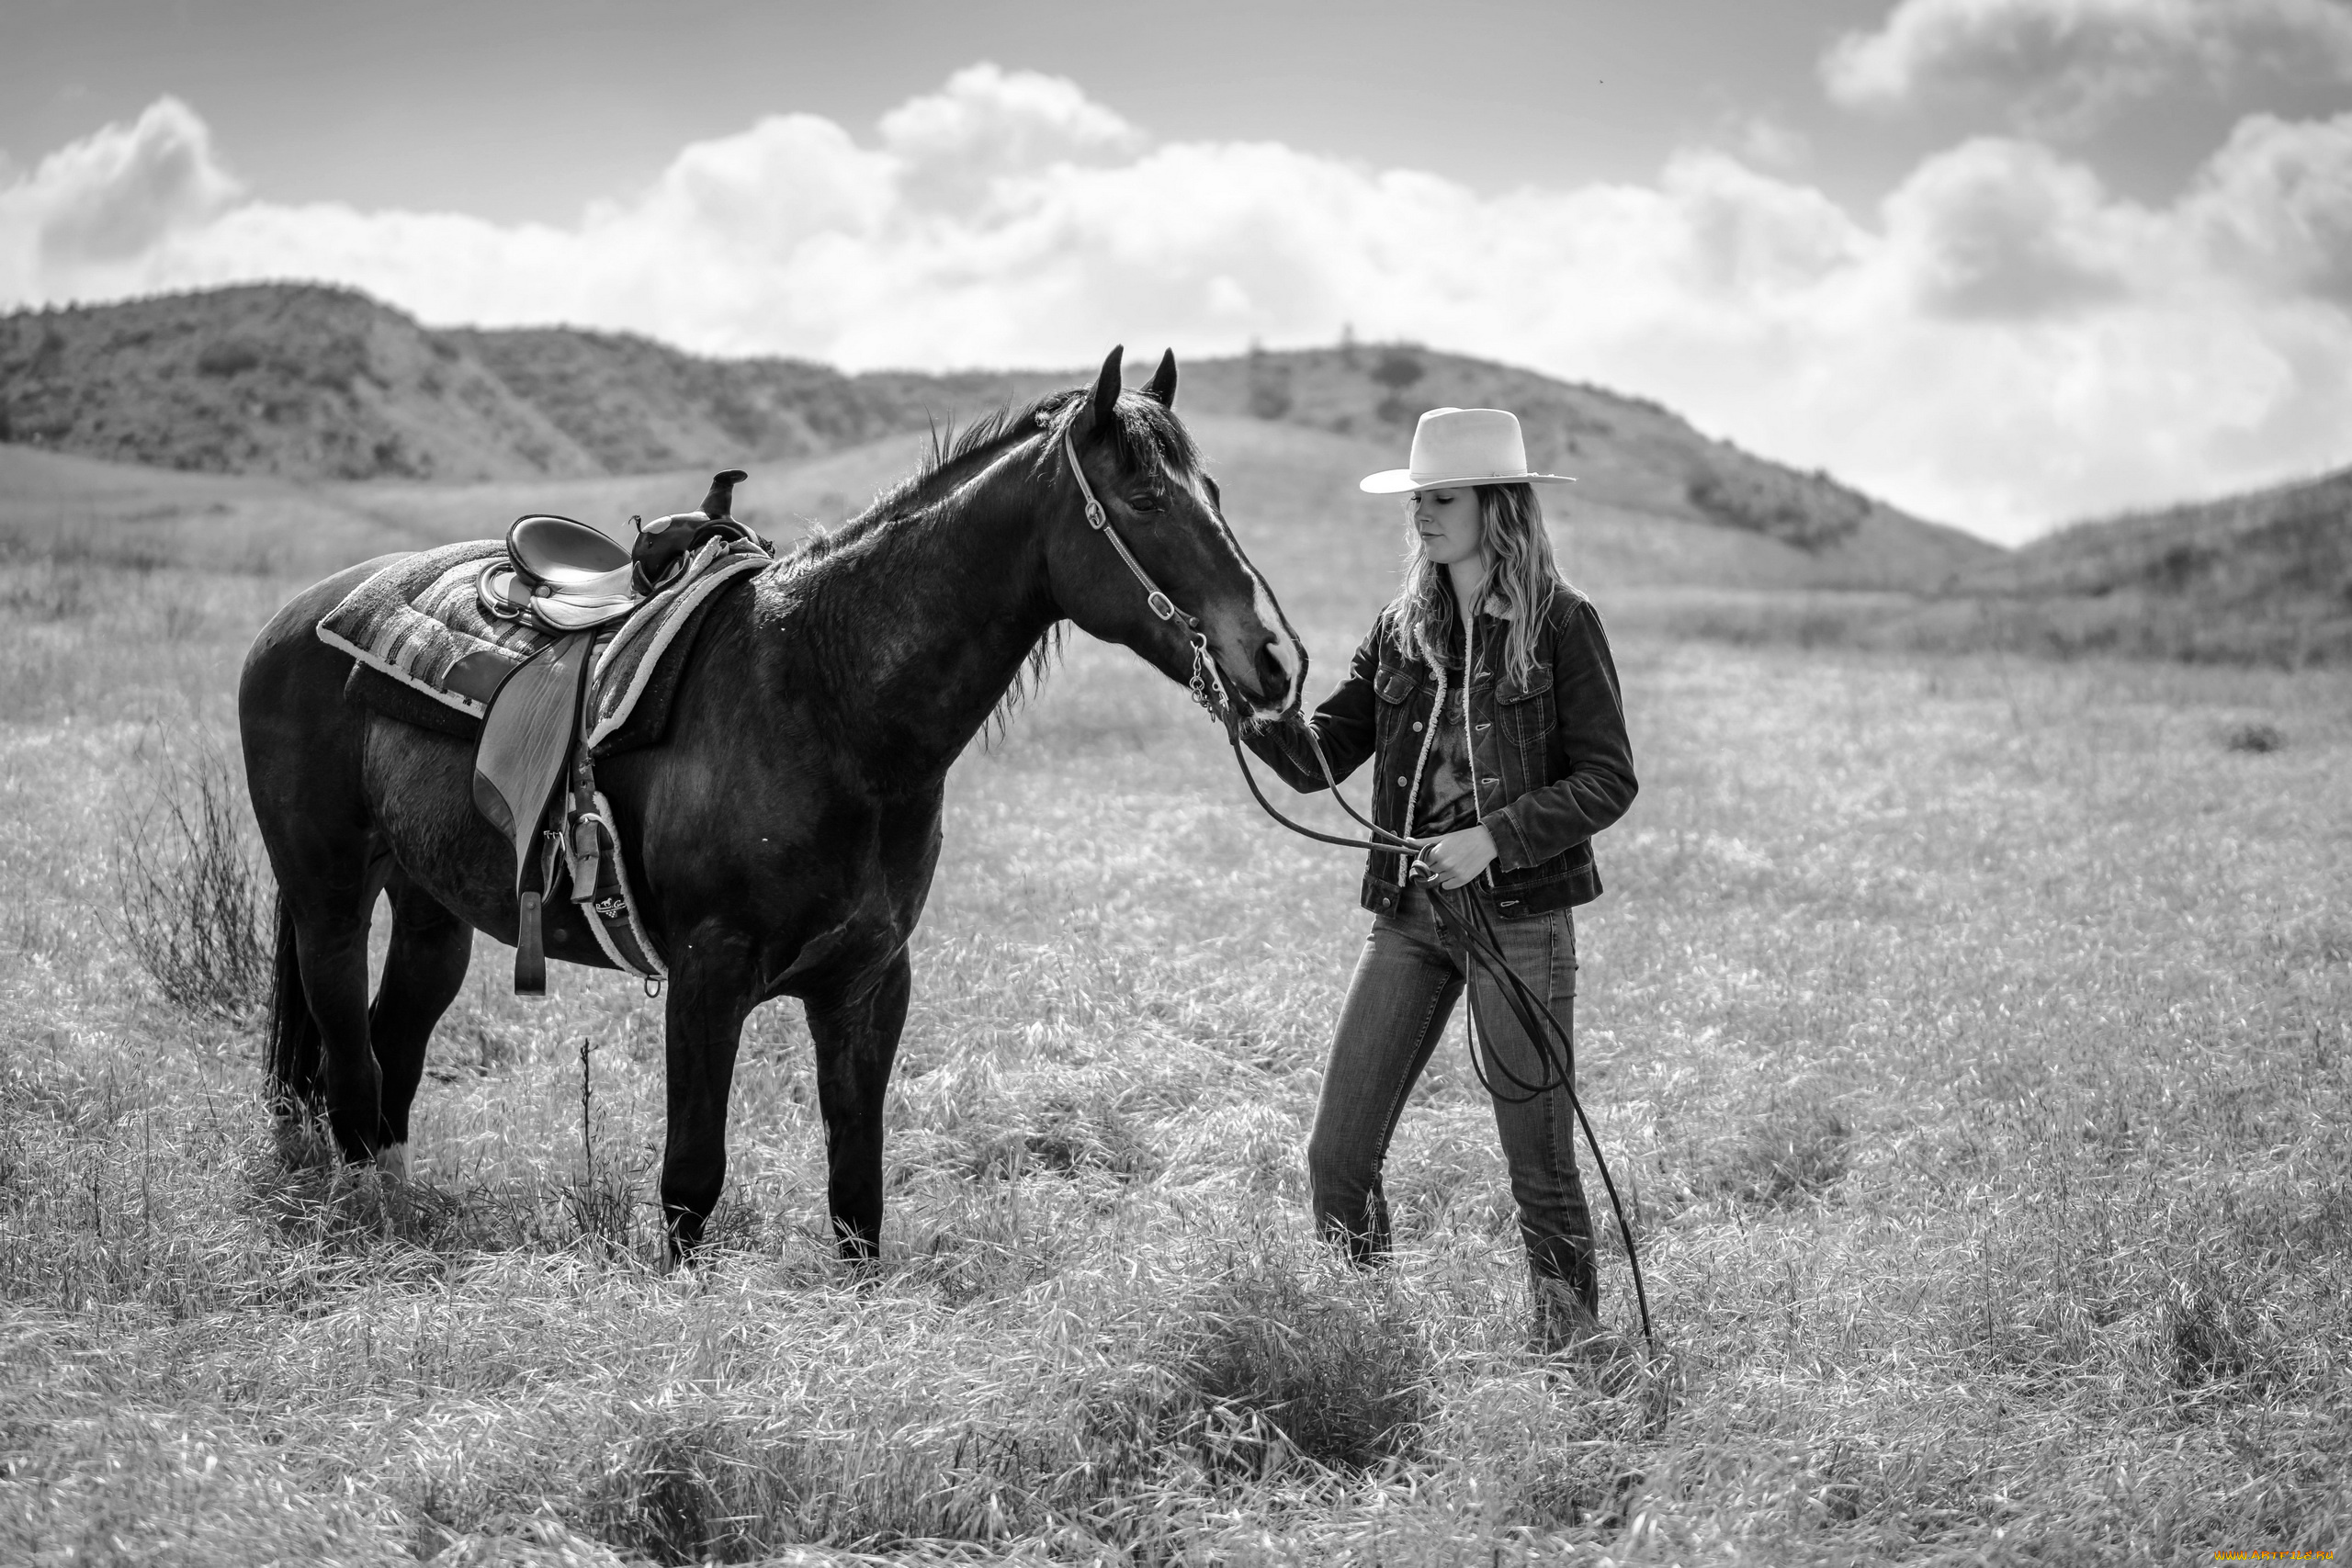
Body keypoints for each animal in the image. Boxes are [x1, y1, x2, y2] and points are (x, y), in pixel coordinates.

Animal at [243, 350, 1307, 1259]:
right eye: (1144, 497)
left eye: (1212, 493)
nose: (1274, 661)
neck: (828, 700)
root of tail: (298, 615)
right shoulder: (708, 976)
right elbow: (690, 1183)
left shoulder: (868, 981)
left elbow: (856, 1197)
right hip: (329, 900)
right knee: (348, 1066)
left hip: (433, 910)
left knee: (393, 1051)